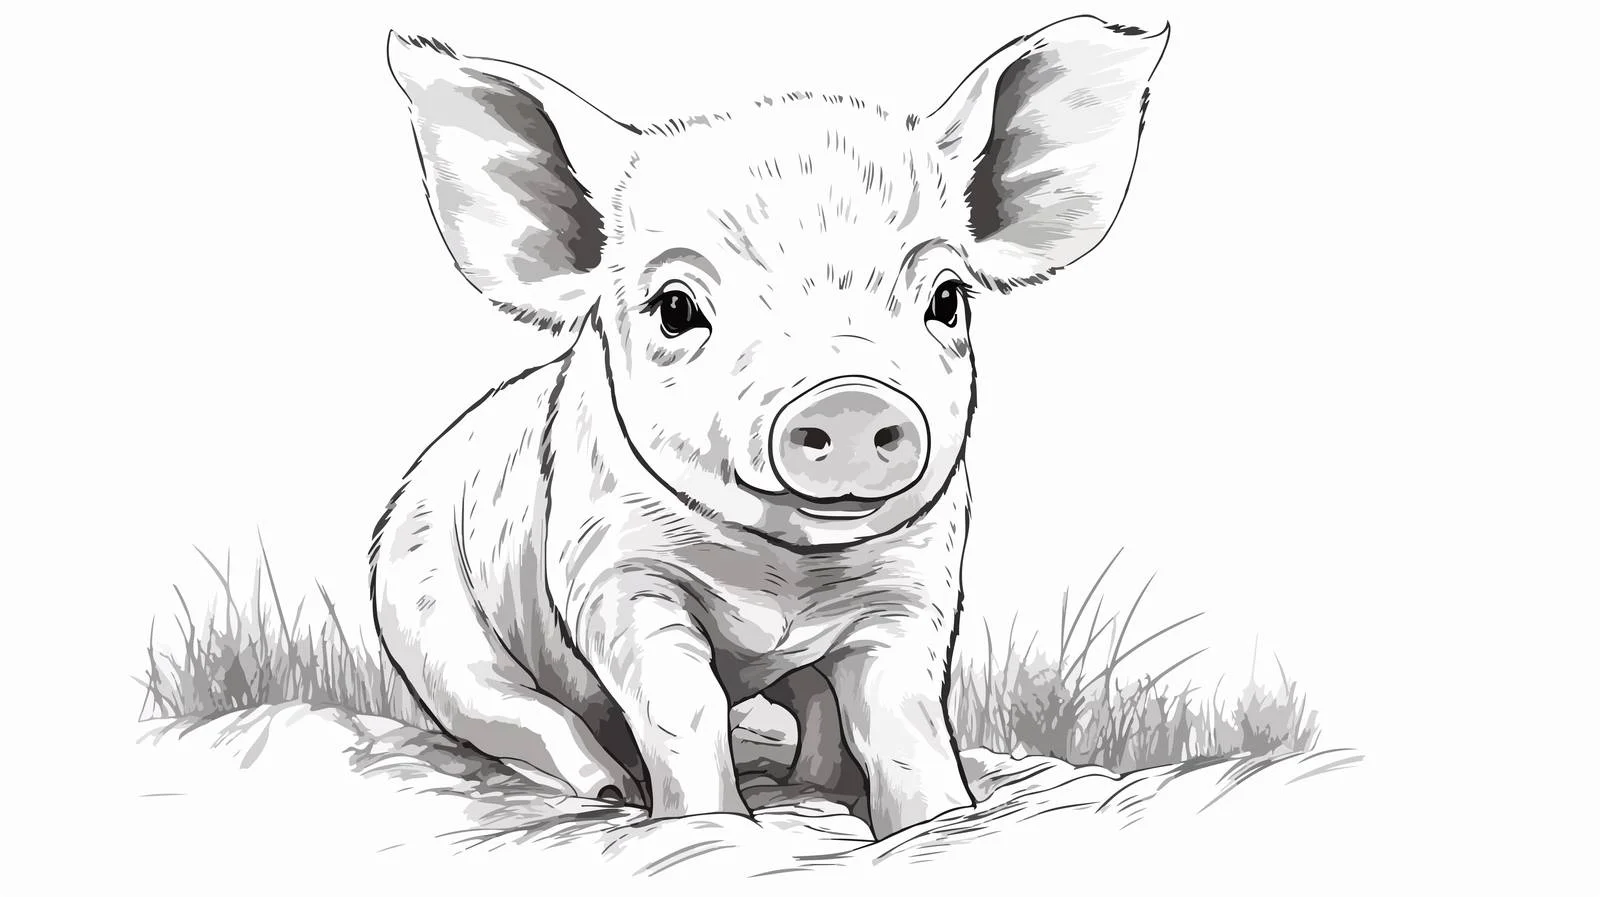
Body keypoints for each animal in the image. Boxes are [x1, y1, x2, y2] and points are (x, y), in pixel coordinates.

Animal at [371, 15, 1167, 837]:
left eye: (946, 298)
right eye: (676, 308)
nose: (850, 399)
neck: (785, 575)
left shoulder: (917, 581)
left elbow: (902, 717)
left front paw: (940, 823)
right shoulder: (609, 570)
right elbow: (682, 705)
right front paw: (707, 829)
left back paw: (809, 784)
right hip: (420, 608)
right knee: (506, 706)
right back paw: (612, 791)